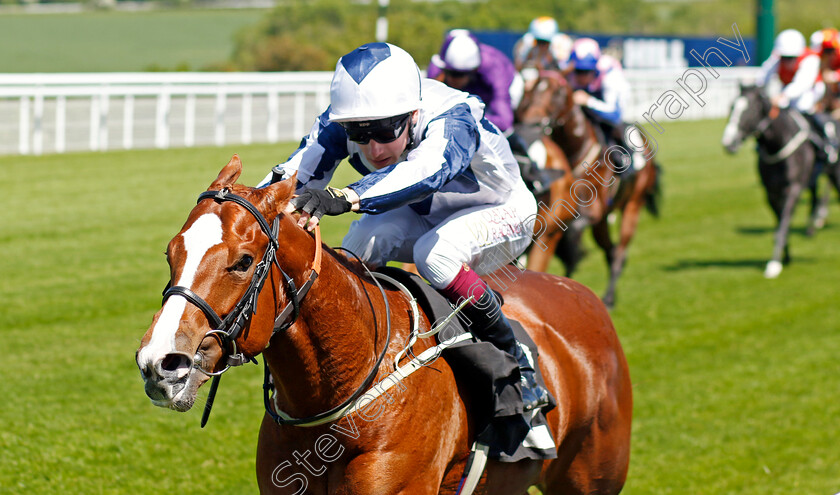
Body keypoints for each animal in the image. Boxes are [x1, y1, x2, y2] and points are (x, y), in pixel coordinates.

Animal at [720, 84, 820, 280]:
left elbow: (783, 225)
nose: (728, 143)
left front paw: (774, 264)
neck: (777, 144)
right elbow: (780, 224)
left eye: (749, 110)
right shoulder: (771, 193)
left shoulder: (793, 189)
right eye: (731, 107)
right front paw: (784, 258)